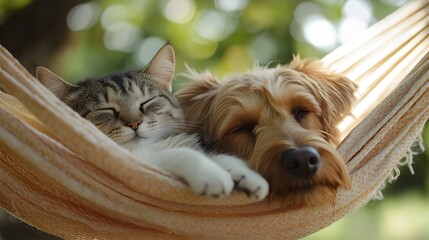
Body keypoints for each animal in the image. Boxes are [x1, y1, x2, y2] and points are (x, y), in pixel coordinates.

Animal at [36, 43, 268, 201]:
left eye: (146, 102)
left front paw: (248, 176)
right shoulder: (131, 161)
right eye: (106, 109)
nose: (134, 123)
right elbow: (184, 154)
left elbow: (215, 155)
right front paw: (211, 174)